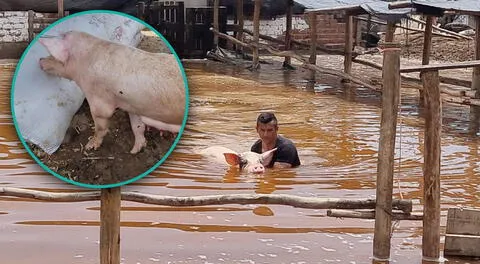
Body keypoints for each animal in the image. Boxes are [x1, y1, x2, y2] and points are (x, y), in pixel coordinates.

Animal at [36, 30, 184, 155]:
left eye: (52, 55)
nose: (40, 60)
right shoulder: (133, 105)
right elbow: (137, 125)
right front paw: (134, 151)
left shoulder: (98, 100)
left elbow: (101, 126)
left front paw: (90, 146)